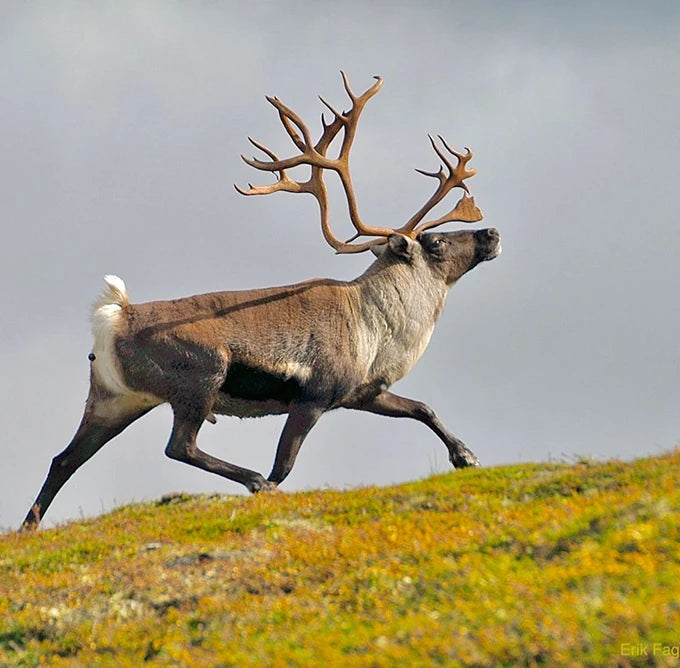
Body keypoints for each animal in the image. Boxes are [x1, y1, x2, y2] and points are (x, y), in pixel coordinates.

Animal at [22, 73, 501, 530]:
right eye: (436, 242)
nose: (491, 233)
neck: (376, 326)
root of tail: (114, 317)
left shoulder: (361, 392)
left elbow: (422, 407)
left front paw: (466, 457)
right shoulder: (313, 397)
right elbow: (283, 467)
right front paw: (267, 484)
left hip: (115, 400)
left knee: (64, 459)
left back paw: (29, 526)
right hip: (200, 380)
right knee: (180, 446)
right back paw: (252, 481)